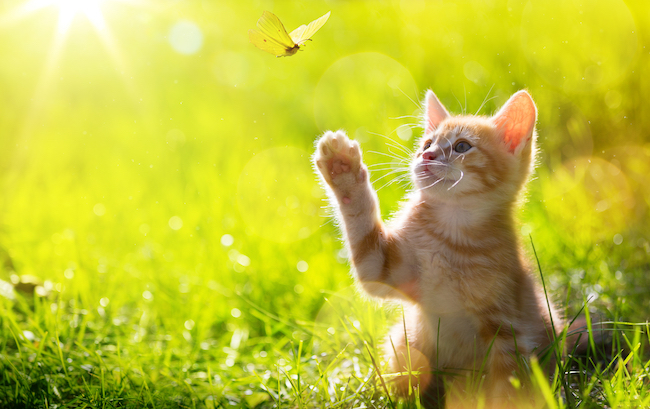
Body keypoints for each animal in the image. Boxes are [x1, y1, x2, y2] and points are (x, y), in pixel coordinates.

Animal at [312, 91, 560, 406]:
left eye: (462, 146)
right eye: (427, 144)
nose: (426, 156)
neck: (449, 236)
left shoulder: (507, 329)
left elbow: (507, 386)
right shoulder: (380, 267)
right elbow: (360, 224)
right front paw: (342, 169)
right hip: (404, 343)